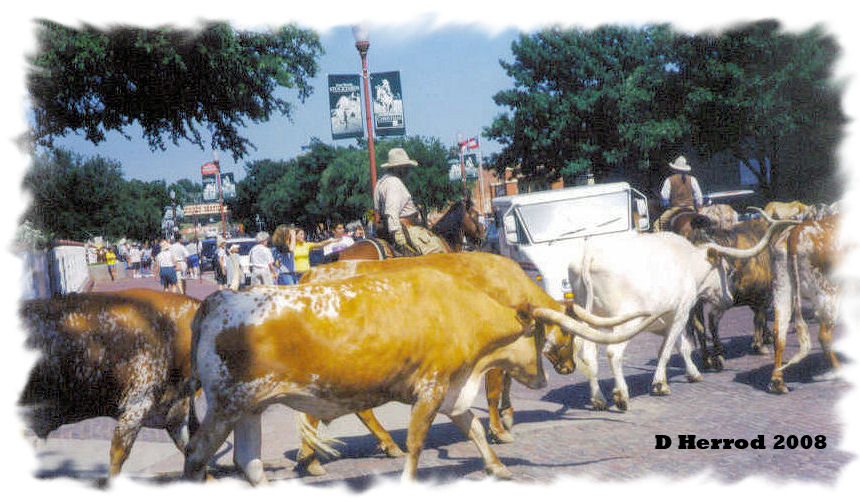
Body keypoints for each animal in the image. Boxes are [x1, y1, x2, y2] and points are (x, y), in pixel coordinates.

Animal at [183, 268, 561, 484]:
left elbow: (475, 429)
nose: (544, 380)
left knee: (249, 462)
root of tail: (216, 301)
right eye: (537, 335)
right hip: (226, 406)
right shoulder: (431, 387)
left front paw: (497, 467)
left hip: (249, 409)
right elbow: (416, 443)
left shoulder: (453, 390)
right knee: (196, 454)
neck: (458, 309)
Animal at [529, 218, 798, 411]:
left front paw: (693, 373)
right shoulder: (681, 312)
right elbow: (667, 350)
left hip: (593, 320)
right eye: (727, 269)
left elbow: (682, 346)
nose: (729, 298)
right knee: (614, 353)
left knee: (588, 354)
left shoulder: (669, 318)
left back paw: (598, 399)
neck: (688, 263)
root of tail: (589, 256)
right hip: (625, 323)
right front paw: (660, 384)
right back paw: (621, 396)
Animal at [764, 211, 842, 393]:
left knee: (779, 333)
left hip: (781, 289)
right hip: (829, 293)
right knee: (824, 336)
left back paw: (777, 381)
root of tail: (794, 233)